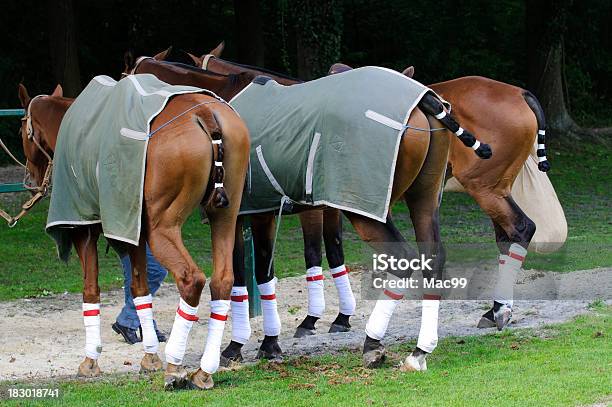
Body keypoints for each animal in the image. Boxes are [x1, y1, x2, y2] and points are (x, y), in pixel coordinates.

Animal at [17, 81, 250, 390]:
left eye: (22, 130)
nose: (30, 180)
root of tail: (203, 113)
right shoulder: (133, 231)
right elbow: (140, 289)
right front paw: (149, 356)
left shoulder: (85, 229)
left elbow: (90, 290)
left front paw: (91, 360)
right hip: (224, 217)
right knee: (222, 281)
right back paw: (203, 371)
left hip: (163, 228)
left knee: (191, 279)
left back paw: (175, 365)